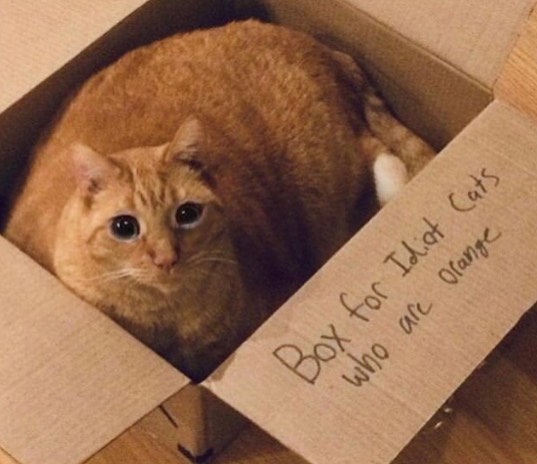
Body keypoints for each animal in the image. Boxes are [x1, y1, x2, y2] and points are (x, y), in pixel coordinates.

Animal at [3, 20, 434, 381]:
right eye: (125, 227)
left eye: (187, 214)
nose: (166, 257)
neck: (167, 321)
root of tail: (318, 45)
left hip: (325, 178)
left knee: (378, 153)